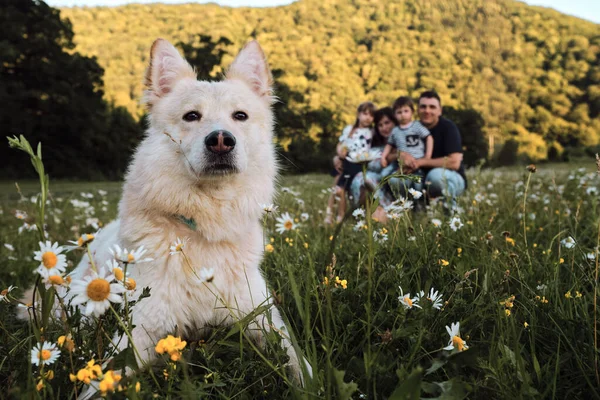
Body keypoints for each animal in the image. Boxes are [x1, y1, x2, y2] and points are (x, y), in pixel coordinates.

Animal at [71, 39, 310, 382]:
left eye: (240, 115)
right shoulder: (139, 332)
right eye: (191, 115)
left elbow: (302, 365)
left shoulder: (265, 320)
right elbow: (104, 381)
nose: (221, 140)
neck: (207, 219)